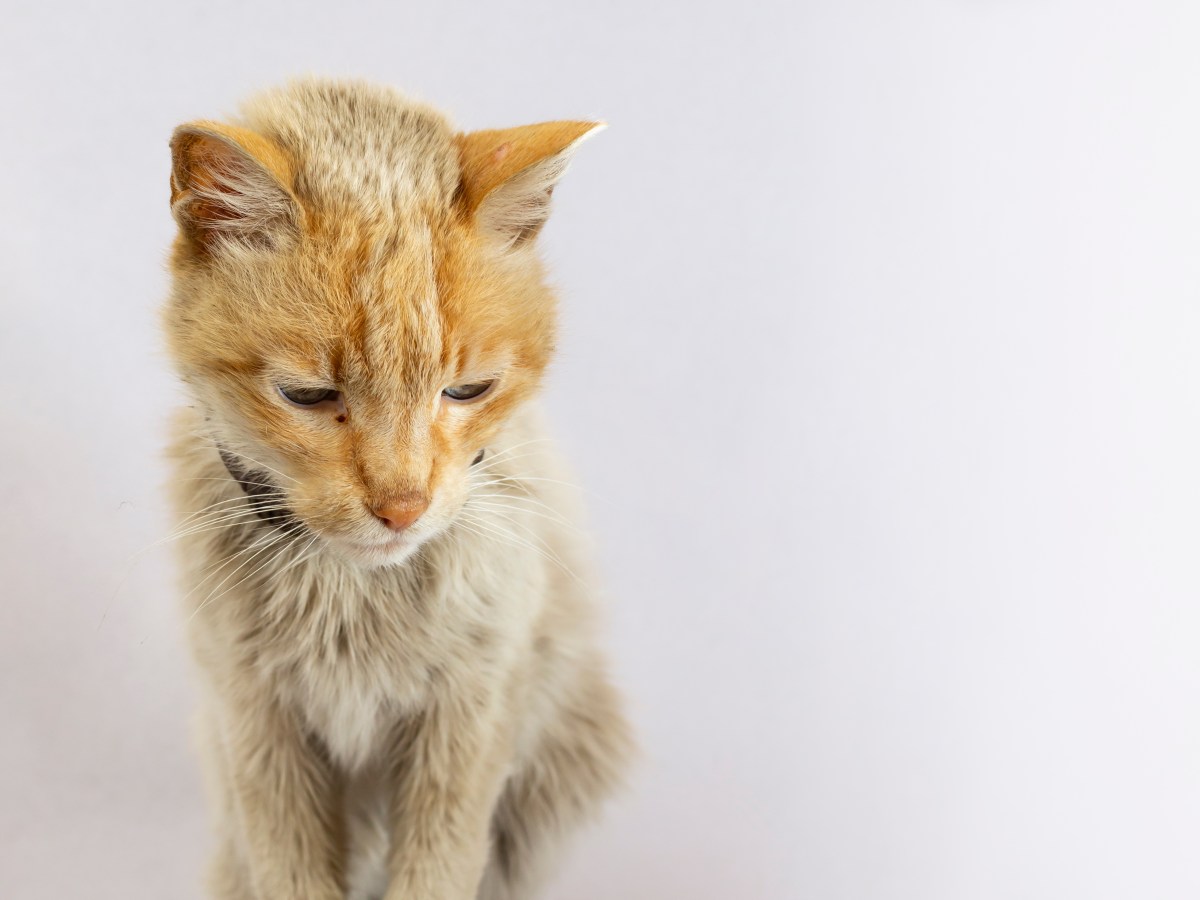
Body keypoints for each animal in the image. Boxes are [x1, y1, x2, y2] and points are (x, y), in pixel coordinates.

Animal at [163, 77, 633, 900]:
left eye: (468, 389)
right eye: (308, 395)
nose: (402, 508)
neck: (353, 596)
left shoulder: (472, 718)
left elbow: (438, 868)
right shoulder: (257, 729)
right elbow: (289, 869)